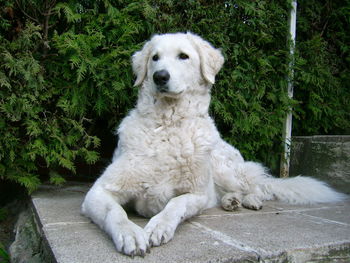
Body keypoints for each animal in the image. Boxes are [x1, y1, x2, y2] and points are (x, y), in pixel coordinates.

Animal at [81, 32, 344, 258]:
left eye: (183, 56)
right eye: (154, 58)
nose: (160, 77)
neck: (169, 125)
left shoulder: (197, 194)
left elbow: (175, 204)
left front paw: (158, 226)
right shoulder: (98, 192)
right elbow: (115, 212)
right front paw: (131, 234)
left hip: (224, 168)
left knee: (256, 187)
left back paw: (249, 200)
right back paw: (230, 202)